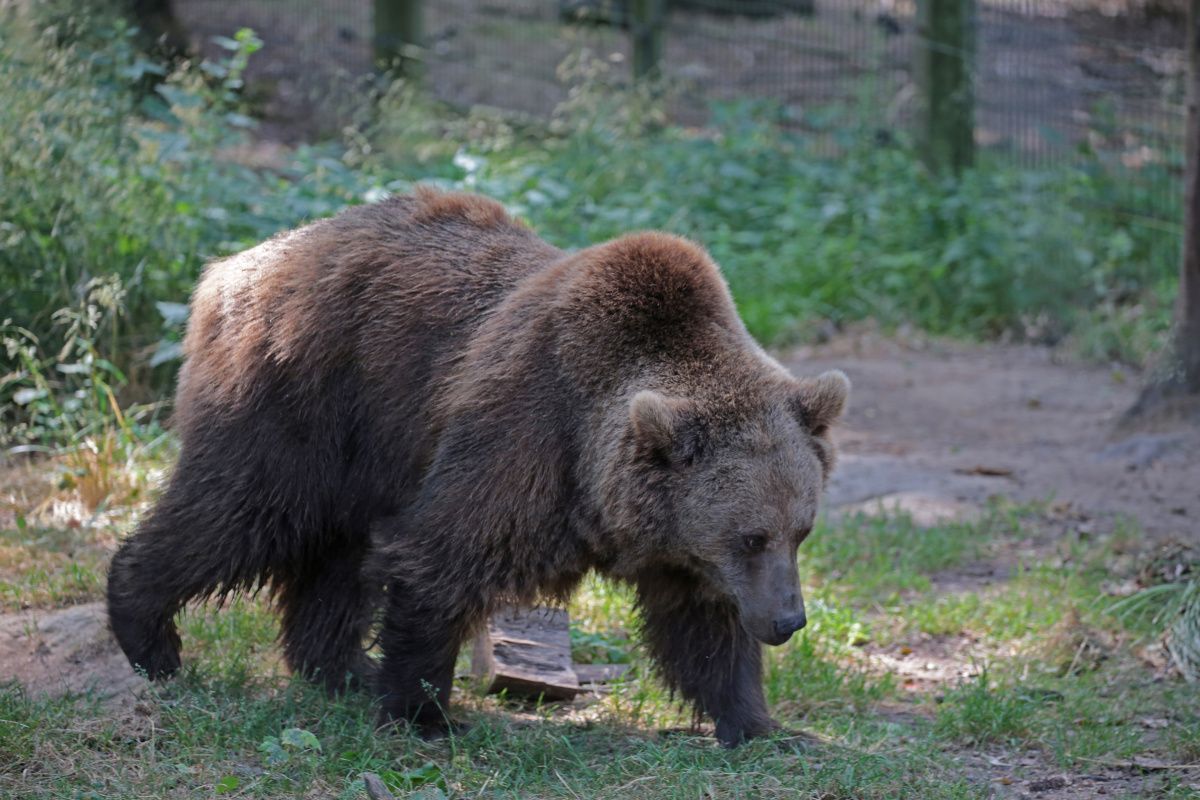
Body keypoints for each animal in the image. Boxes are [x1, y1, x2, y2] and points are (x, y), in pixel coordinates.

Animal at [106, 187, 849, 746]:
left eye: (800, 531)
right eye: (751, 536)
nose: (789, 621)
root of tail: (233, 266)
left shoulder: (676, 539)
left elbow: (705, 624)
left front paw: (765, 726)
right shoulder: (527, 434)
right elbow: (442, 558)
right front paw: (426, 714)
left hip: (365, 451)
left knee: (334, 557)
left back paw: (342, 668)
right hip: (305, 397)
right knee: (240, 511)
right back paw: (149, 636)